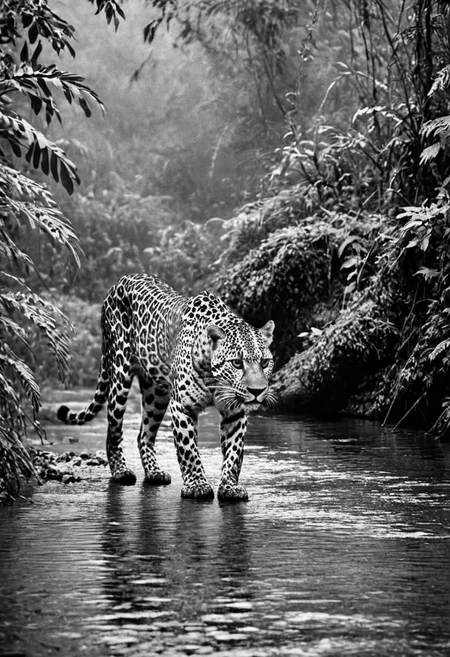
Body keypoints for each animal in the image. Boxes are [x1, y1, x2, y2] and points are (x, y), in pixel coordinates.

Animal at [57, 274, 275, 501]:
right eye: (237, 363)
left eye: (265, 362)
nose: (257, 392)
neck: (213, 378)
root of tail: (120, 281)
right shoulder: (182, 407)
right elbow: (188, 449)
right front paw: (197, 485)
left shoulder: (235, 412)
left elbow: (234, 453)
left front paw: (230, 487)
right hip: (120, 375)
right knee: (113, 431)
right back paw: (121, 472)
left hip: (156, 394)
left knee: (143, 435)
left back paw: (154, 472)